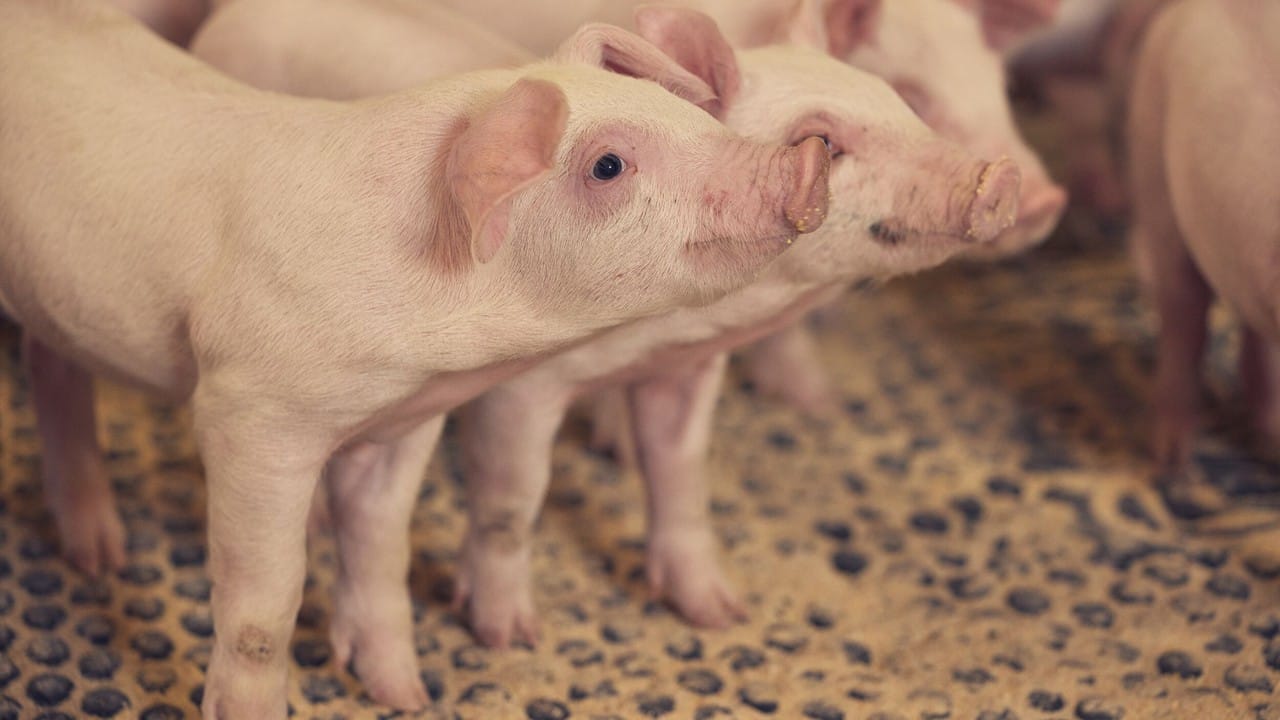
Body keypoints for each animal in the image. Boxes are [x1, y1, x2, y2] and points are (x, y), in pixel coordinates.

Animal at [1, 2, 830, 716]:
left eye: (680, 109)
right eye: (607, 166)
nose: (807, 160)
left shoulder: (400, 423)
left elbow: (381, 551)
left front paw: (406, 696)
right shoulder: (249, 413)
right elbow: (264, 608)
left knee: (54, 366)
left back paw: (98, 555)